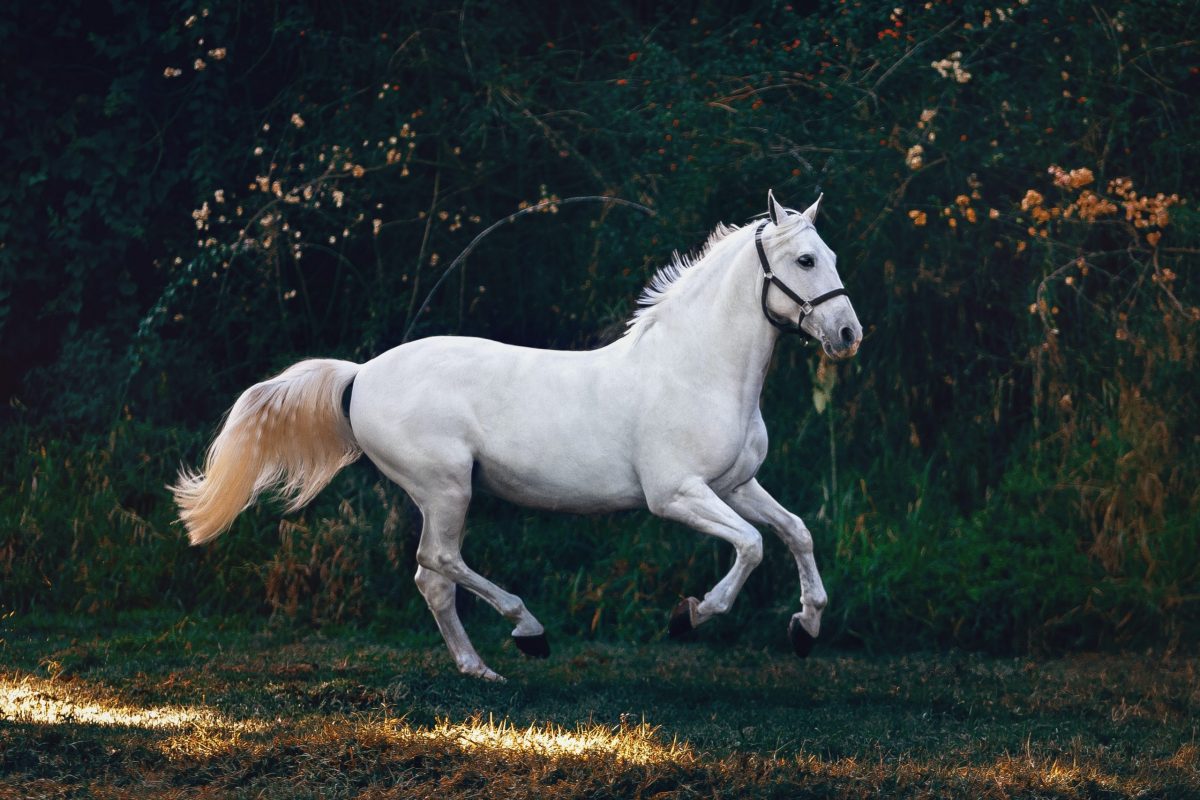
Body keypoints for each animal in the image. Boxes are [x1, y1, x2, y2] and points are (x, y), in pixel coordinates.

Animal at [171, 190, 864, 681]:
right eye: (805, 260)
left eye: (833, 257)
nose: (848, 334)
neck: (696, 369)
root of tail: (361, 374)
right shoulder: (676, 495)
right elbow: (751, 546)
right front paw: (690, 616)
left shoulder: (736, 484)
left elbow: (795, 532)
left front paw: (805, 628)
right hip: (446, 488)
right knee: (439, 563)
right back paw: (527, 632)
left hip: (443, 494)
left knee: (432, 579)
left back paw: (480, 668)